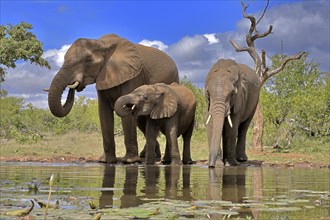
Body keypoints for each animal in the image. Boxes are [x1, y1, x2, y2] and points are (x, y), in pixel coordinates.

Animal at [47, 33, 178, 163]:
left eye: (88, 60)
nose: (73, 85)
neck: (102, 43)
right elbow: (104, 113)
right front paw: (106, 161)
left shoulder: (133, 76)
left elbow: (126, 111)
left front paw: (129, 161)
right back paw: (149, 156)